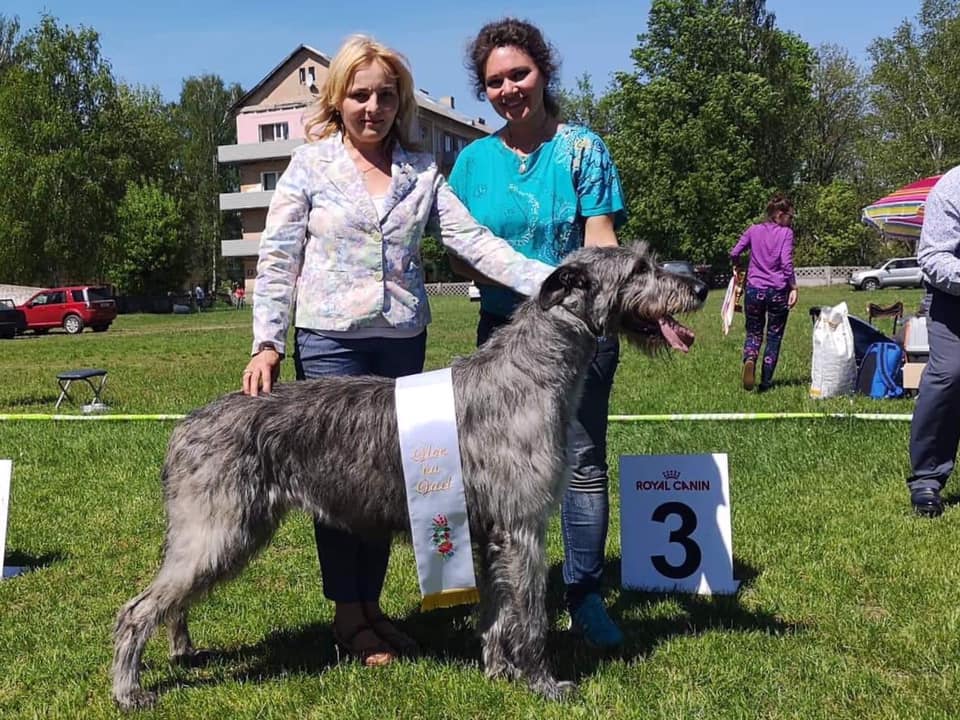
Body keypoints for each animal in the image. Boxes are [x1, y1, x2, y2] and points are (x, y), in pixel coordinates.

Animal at [114, 243, 704, 708]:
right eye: (640, 268)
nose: (699, 285)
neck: (533, 372)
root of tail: (184, 426)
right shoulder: (522, 526)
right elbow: (530, 615)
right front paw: (544, 683)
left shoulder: (488, 532)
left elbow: (497, 611)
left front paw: (499, 672)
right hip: (218, 530)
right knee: (134, 610)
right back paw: (128, 690)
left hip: (226, 531)